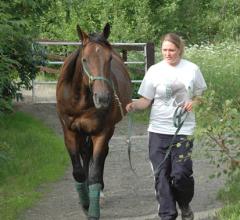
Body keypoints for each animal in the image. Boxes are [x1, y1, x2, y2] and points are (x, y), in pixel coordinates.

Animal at [55, 23, 131, 219]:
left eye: (109, 59)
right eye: (84, 60)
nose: (103, 98)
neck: (81, 101)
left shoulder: (102, 132)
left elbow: (96, 170)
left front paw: (93, 208)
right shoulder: (70, 132)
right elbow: (78, 171)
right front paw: (85, 203)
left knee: (100, 156)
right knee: (85, 154)